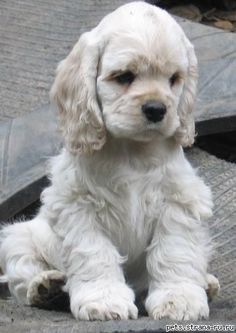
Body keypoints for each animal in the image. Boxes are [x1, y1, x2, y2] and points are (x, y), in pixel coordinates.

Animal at [0, 1, 219, 320]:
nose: (156, 109)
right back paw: (47, 287)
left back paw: (207, 283)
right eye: (124, 76)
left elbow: (174, 252)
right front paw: (103, 302)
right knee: (23, 277)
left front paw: (179, 299)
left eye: (174, 79)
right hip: (19, 238)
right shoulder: (77, 206)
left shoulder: (179, 201)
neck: (132, 151)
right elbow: (94, 254)